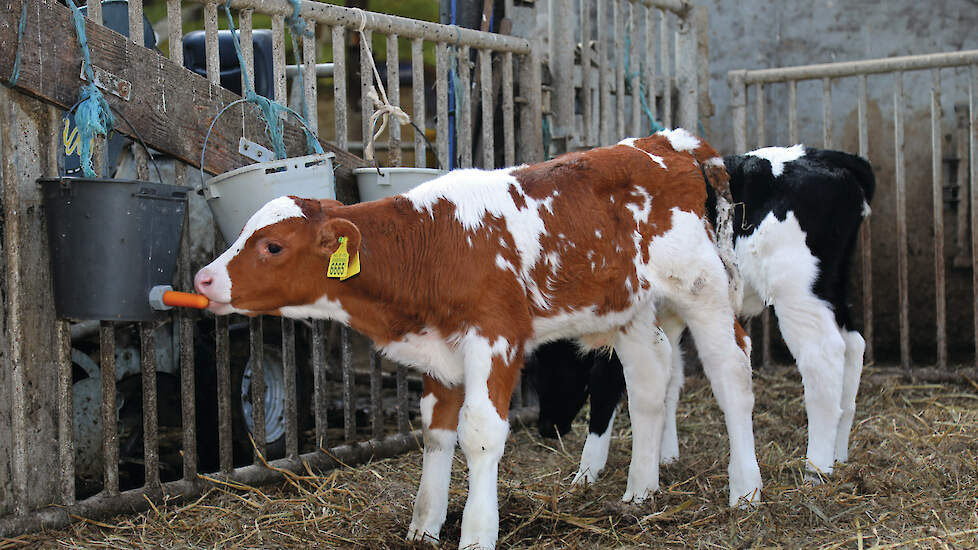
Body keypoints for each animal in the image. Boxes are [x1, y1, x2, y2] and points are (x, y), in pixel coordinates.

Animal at [194, 128, 760, 548]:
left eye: (272, 246)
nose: (203, 279)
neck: (433, 242)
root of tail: (667, 142)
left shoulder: (495, 338)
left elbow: (482, 433)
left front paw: (476, 532)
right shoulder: (438, 353)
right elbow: (436, 433)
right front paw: (424, 527)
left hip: (702, 286)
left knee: (731, 375)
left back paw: (746, 491)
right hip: (628, 307)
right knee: (647, 380)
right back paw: (640, 491)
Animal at [528, 146, 872, 484]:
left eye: (552, 359)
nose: (546, 428)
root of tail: (825, 155)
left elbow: (606, 382)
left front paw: (587, 472)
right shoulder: (669, 313)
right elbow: (670, 377)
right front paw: (664, 456)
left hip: (795, 289)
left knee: (823, 354)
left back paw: (816, 466)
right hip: (831, 285)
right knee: (853, 344)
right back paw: (839, 451)